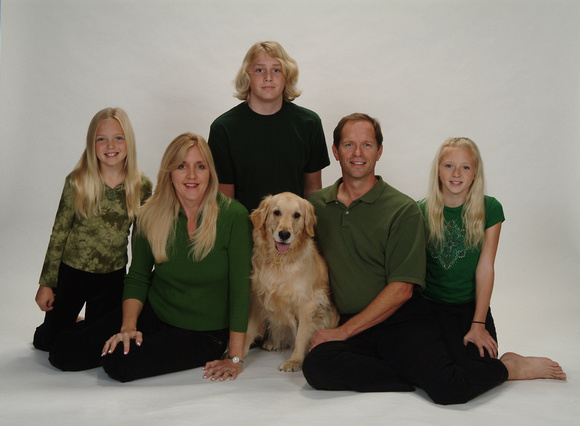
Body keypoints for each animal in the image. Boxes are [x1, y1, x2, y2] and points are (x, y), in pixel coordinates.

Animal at [244, 191, 340, 372]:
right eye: (276, 212)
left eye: (297, 215)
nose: (284, 234)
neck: (280, 261)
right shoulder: (258, 299)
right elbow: (248, 331)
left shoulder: (307, 305)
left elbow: (301, 335)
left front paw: (295, 361)